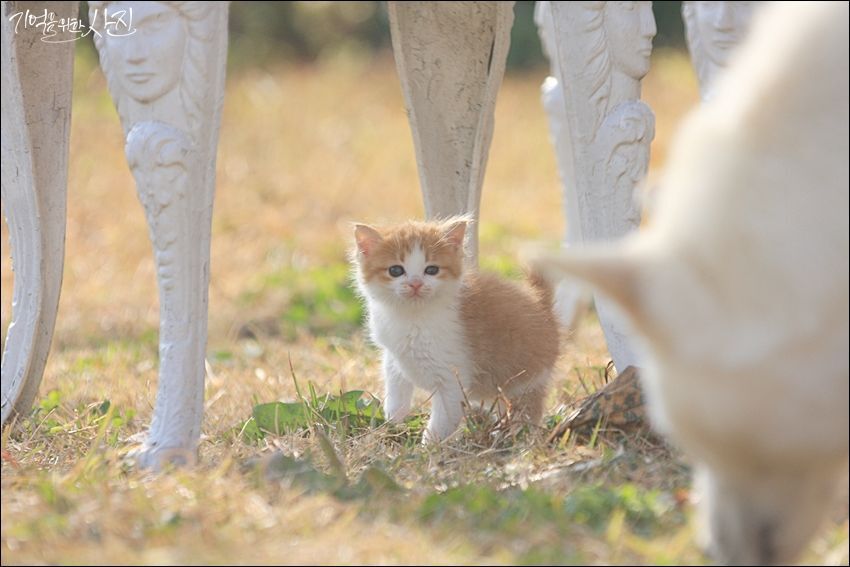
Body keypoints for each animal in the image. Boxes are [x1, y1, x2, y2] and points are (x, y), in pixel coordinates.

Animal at [352, 217, 560, 444]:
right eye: (396, 271)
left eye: (431, 270)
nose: (415, 284)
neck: (413, 317)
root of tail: (542, 307)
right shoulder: (393, 356)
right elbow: (396, 393)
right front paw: (391, 426)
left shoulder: (451, 379)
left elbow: (442, 421)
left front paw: (427, 448)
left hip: (526, 379)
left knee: (528, 410)